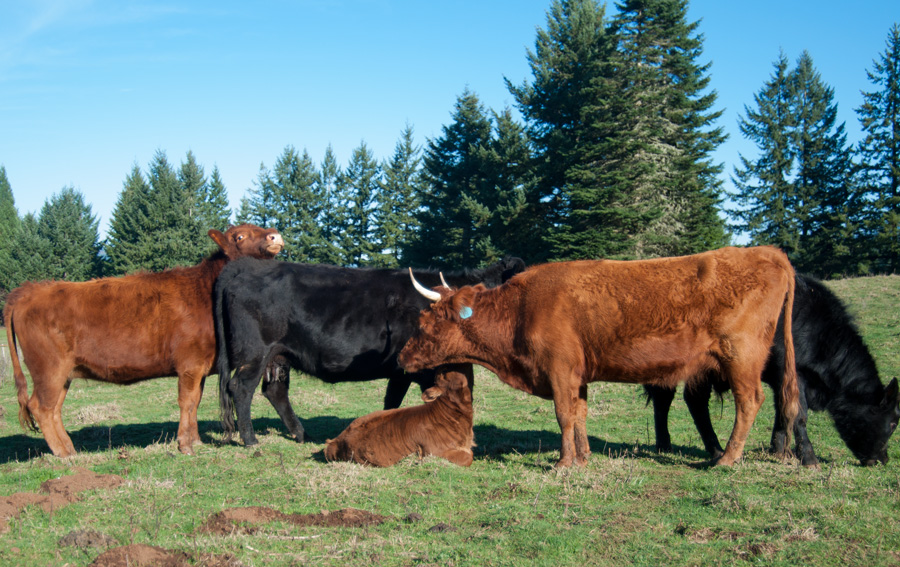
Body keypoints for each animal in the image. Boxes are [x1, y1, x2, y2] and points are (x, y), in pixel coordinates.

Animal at [3, 224, 284, 460]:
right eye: (240, 236)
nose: (275, 236)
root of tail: (29, 291)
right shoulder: (190, 364)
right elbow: (187, 401)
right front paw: (185, 445)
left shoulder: (201, 366)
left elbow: (195, 402)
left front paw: (195, 440)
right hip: (49, 369)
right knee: (40, 407)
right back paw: (63, 454)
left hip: (63, 375)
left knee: (53, 409)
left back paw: (70, 449)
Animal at [214, 258, 524, 448]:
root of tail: (246, 266)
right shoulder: (417, 369)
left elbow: (393, 402)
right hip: (255, 353)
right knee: (241, 388)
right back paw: (251, 440)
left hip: (279, 356)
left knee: (275, 391)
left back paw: (301, 434)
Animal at [400, 246, 800, 468]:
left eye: (425, 323)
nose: (402, 358)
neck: (520, 310)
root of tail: (767, 251)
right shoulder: (577, 377)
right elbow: (579, 415)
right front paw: (583, 457)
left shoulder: (560, 371)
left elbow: (564, 416)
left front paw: (563, 464)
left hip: (740, 357)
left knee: (749, 401)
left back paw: (727, 458)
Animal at [652, 274, 896, 466]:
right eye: (894, 421)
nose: (883, 460)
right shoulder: (793, 376)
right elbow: (798, 414)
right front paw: (809, 459)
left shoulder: (783, 380)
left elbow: (783, 412)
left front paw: (778, 451)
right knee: (681, 400)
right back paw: (694, 447)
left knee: (679, 399)